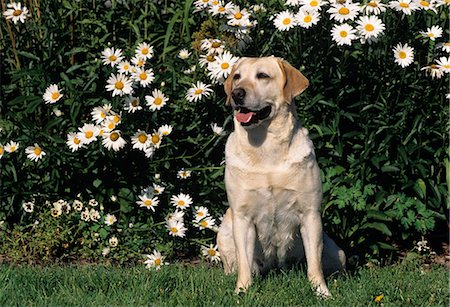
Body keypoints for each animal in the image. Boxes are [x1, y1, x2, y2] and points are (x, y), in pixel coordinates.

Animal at [216, 56, 346, 298]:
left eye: (262, 76)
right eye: (237, 76)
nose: (237, 93)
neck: (267, 149)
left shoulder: (310, 214)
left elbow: (314, 265)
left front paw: (322, 292)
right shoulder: (243, 217)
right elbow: (244, 262)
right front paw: (242, 291)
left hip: (337, 253)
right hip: (225, 231)